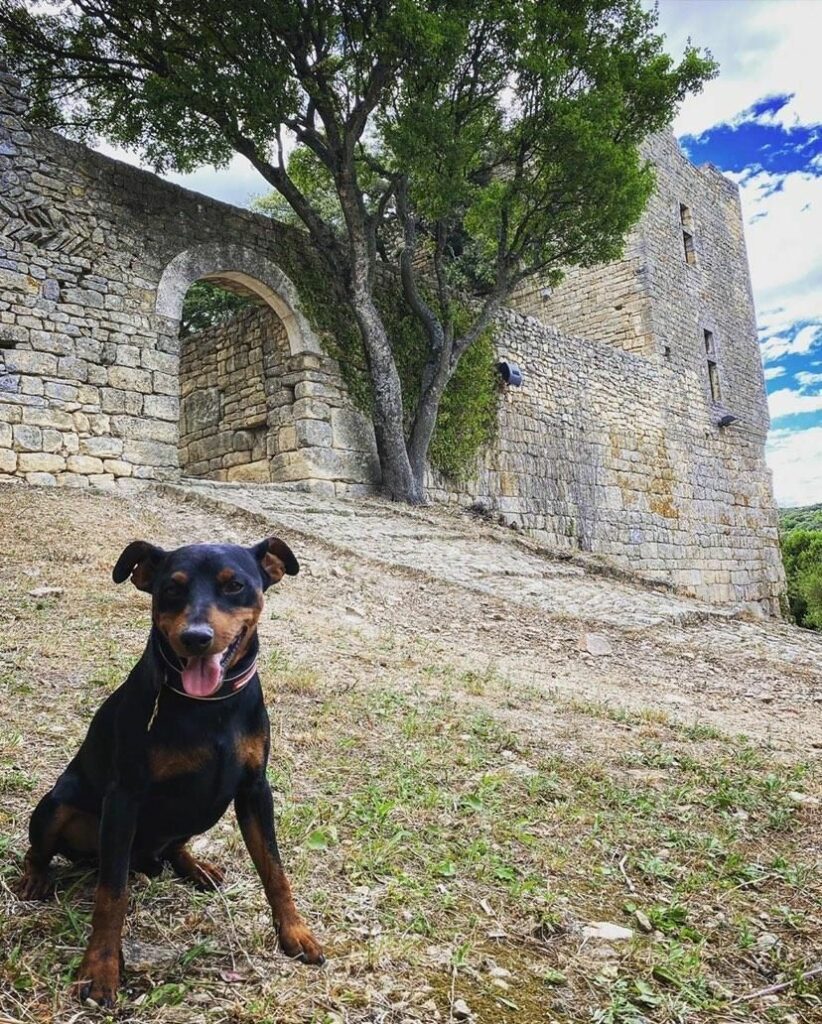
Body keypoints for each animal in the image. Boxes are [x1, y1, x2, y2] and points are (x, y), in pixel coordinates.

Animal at [16, 540, 325, 1003]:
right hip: (57, 804)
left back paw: (195, 866)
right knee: (41, 849)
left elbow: (274, 869)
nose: (196, 638)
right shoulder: (124, 799)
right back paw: (35, 878)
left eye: (235, 585)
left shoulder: (254, 790)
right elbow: (112, 893)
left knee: (174, 846)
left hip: (203, 813)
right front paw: (100, 968)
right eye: (171, 589)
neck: (210, 707)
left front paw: (295, 933)